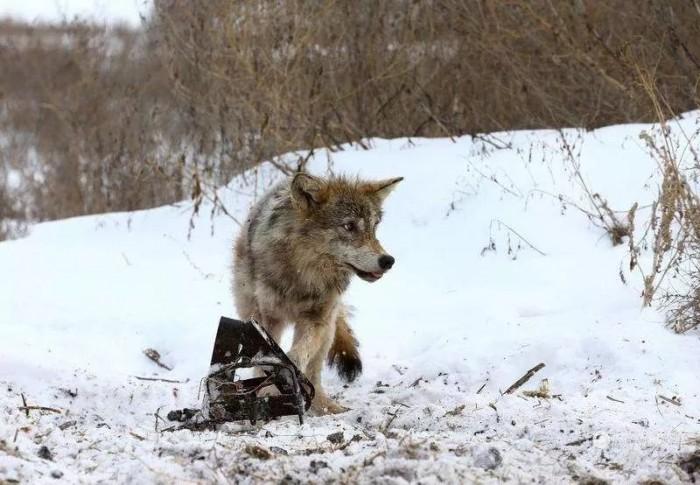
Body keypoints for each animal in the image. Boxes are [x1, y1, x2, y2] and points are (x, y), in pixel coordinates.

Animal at [232, 170, 402, 412]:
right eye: (349, 226)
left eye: (374, 227)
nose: (388, 261)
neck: (304, 275)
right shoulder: (269, 318)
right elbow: (268, 357)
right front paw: (267, 389)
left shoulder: (317, 319)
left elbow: (298, 355)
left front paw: (284, 379)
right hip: (250, 311)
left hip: (328, 328)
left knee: (314, 371)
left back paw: (325, 407)